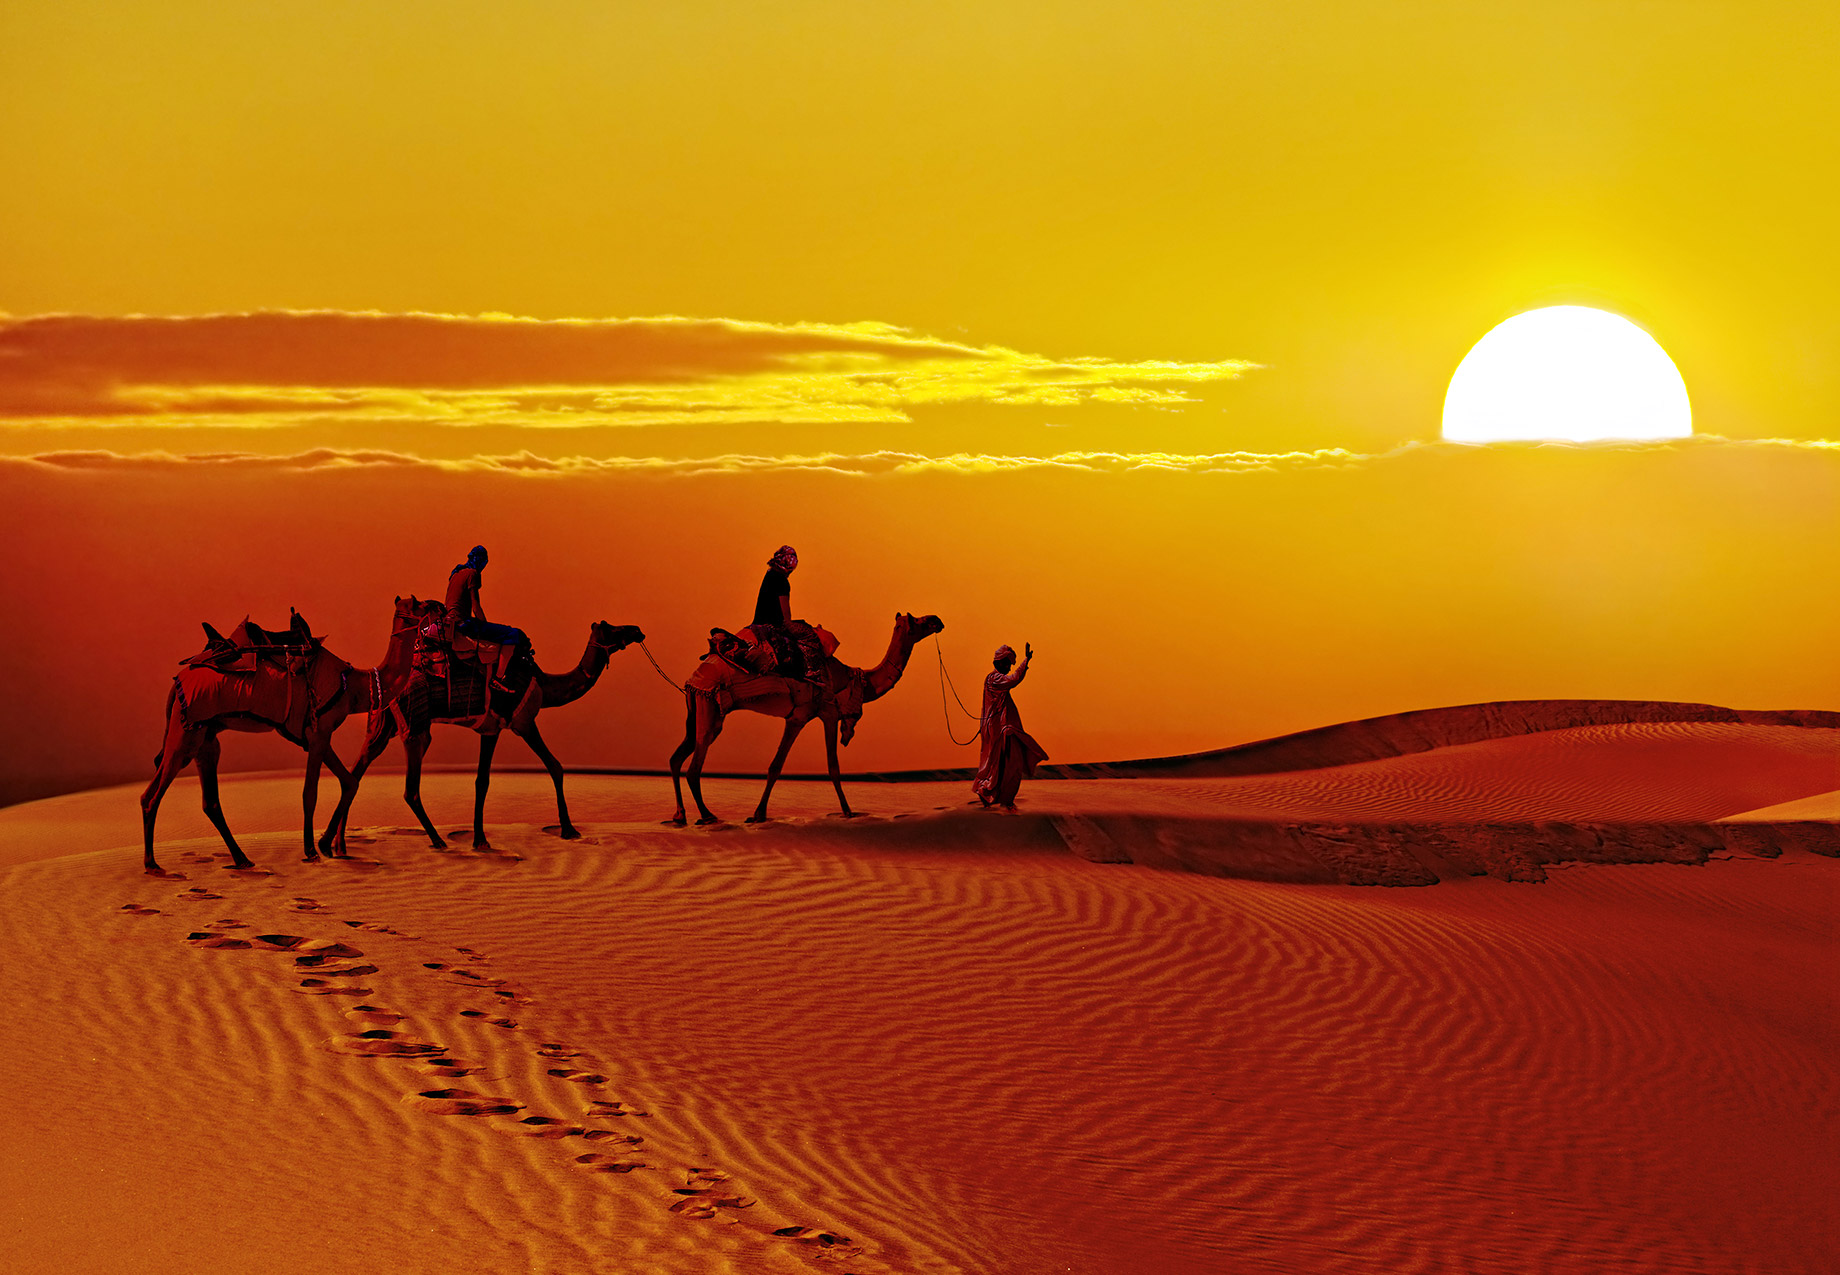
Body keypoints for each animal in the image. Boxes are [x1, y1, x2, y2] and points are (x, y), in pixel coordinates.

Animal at [142, 596, 441, 875]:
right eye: (419, 603)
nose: (439, 605)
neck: (354, 686)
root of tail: (179, 681)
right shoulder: (319, 733)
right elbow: (310, 793)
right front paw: (311, 850)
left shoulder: (318, 733)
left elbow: (349, 782)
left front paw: (324, 844)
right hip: (186, 733)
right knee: (152, 794)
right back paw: (152, 864)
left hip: (205, 736)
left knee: (210, 800)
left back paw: (242, 859)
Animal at [331, 618, 647, 850]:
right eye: (611, 627)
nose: (637, 630)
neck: (543, 685)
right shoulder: (520, 721)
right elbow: (552, 767)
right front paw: (568, 830)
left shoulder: (491, 727)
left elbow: (482, 780)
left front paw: (479, 838)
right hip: (415, 723)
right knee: (410, 788)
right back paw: (437, 840)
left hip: (383, 724)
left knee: (357, 770)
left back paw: (340, 846)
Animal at [669, 610, 942, 824]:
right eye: (917, 620)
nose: (937, 620)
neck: (856, 680)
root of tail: (692, 680)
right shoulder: (821, 714)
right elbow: (825, 767)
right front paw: (848, 812)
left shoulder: (806, 716)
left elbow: (783, 767)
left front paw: (759, 814)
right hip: (709, 708)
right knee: (694, 767)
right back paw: (707, 815)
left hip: (699, 711)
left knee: (676, 758)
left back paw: (680, 815)